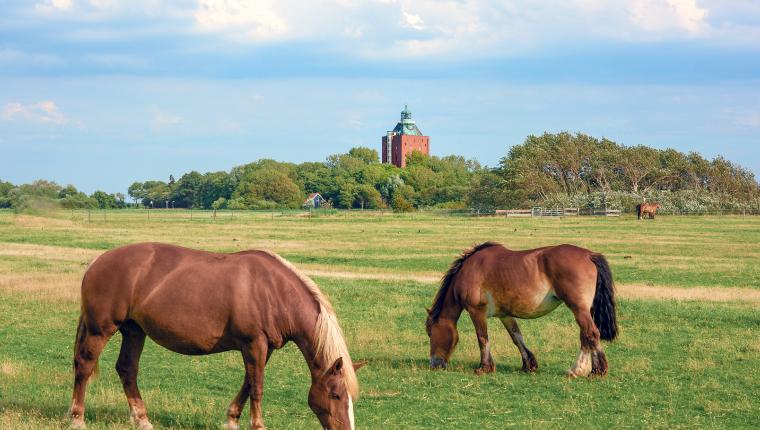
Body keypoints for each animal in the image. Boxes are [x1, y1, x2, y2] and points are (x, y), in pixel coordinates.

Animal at [70, 242, 360, 430]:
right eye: (336, 395)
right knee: (84, 366)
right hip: (100, 330)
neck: (273, 291)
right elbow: (257, 387)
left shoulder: (262, 348)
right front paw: (257, 425)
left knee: (127, 369)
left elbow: (247, 383)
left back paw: (143, 420)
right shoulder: (254, 344)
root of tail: (97, 261)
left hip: (133, 330)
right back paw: (77, 419)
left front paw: (231, 420)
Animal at [428, 244, 616, 378]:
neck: (469, 270)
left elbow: (482, 338)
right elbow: (516, 337)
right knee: (585, 336)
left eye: (430, 334)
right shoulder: (505, 315)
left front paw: (484, 367)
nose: (434, 364)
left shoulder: (477, 312)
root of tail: (589, 255)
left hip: (578, 308)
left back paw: (588, 370)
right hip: (582, 310)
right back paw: (586, 369)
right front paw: (528, 365)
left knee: (591, 334)